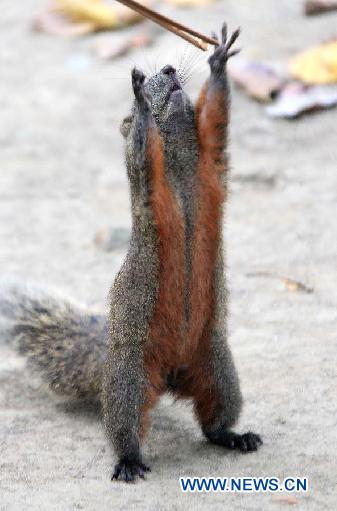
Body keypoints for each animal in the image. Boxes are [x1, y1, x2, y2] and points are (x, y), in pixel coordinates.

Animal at [0, 23, 262, 484]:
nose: (170, 69)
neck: (181, 165)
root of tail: (172, 375)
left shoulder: (212, 161)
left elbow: (217, 119)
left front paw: (218, 62)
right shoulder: (149, 180)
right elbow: (142, 145)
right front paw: (139, 99)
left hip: (218, 368)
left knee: (213, 420)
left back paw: (234, 436)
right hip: (130, 381)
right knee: (125, 425)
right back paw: (128, 461)